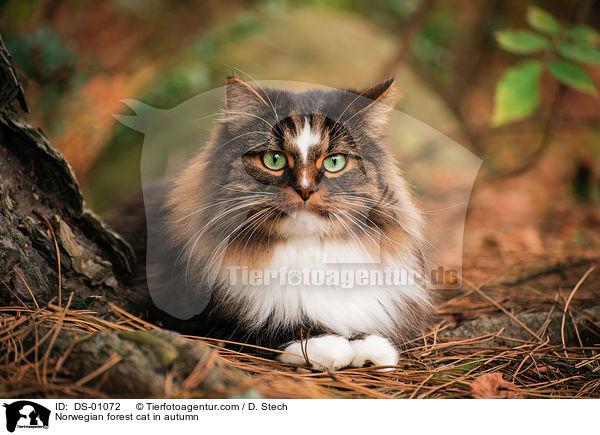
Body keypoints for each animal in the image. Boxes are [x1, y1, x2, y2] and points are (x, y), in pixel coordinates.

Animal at [110, 77, 432, 372]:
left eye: (335, 162)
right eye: (274, 159)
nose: (305, 190)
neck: (307, 256)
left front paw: (370, 347)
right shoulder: (172, 304)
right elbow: (258, 325)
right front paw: (328, 345)